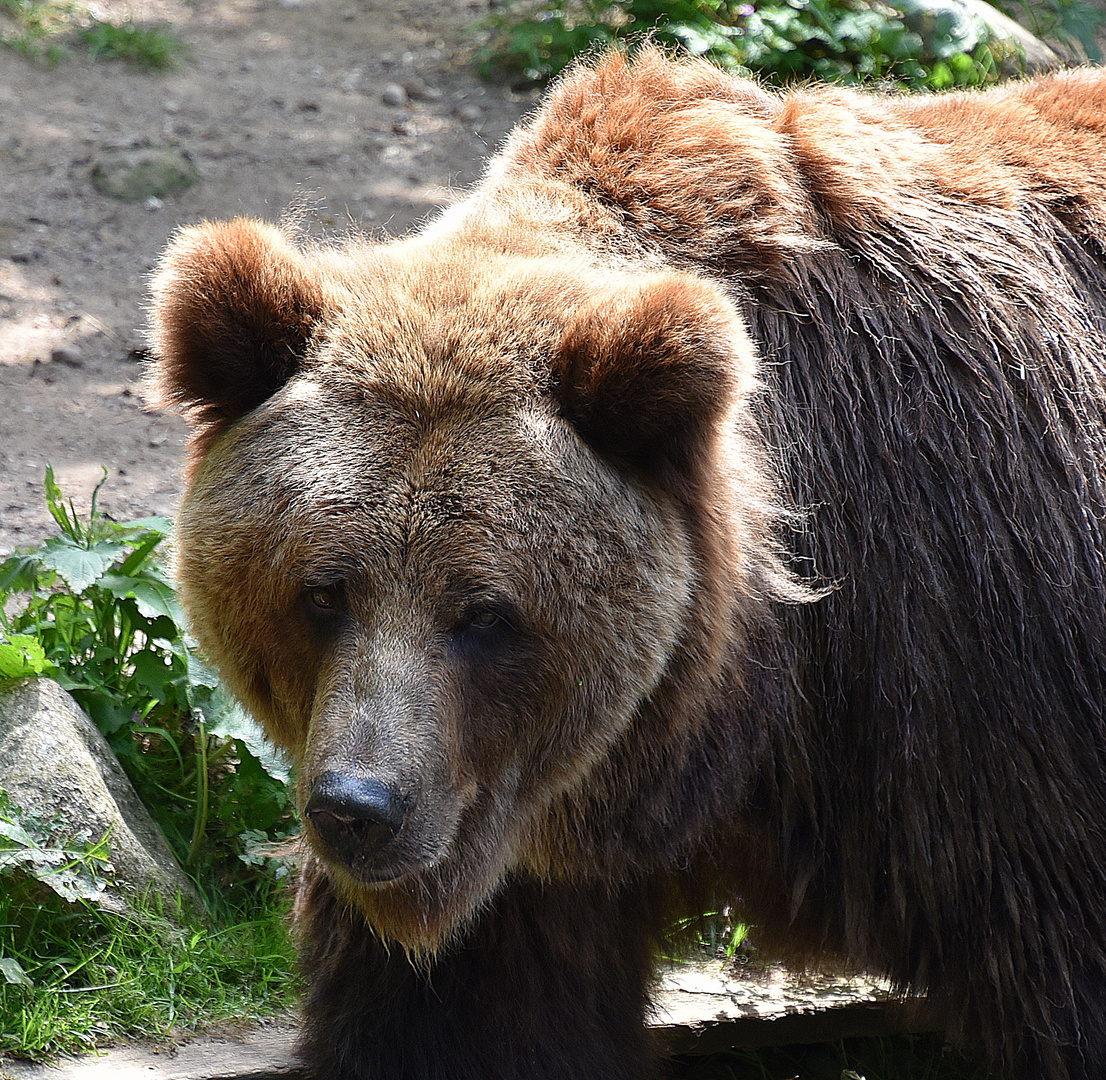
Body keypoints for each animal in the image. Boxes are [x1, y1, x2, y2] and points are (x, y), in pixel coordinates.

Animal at [151, 48, 1106, 1080]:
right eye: (323, 591)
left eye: (484, 611)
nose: (358, 808)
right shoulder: (514, 853)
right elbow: (463, 1022)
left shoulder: (981, 678)